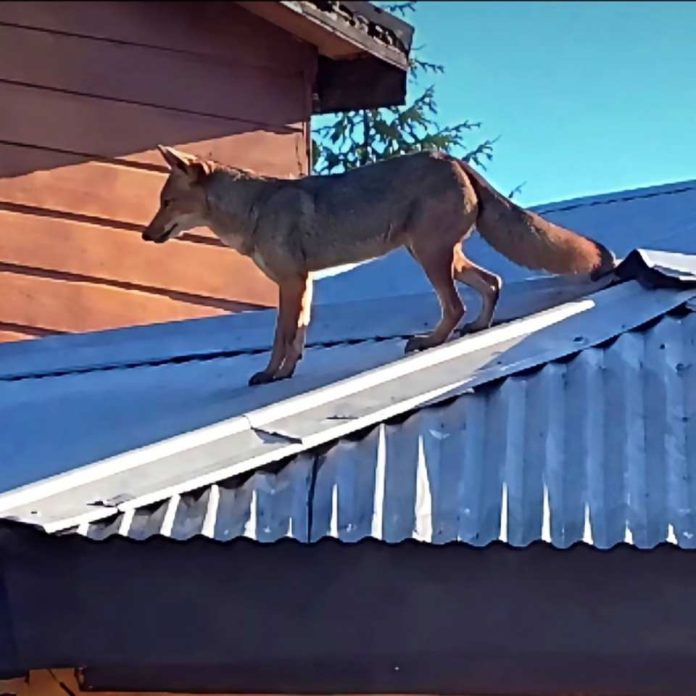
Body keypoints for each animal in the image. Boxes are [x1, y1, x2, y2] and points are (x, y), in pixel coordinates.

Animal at [143, 146, 616, 386]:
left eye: (166, 202)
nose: (146, 235)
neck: (254, 210)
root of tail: (453, 159)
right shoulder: (304, 283)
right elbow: (298, 339)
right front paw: (287, 373)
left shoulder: (291, 283)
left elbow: (281, 337)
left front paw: (270, 374)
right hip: (441, 257)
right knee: (492, 283)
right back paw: (476, 328)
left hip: (429, 257)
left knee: (457, 304)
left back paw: (430, 341)